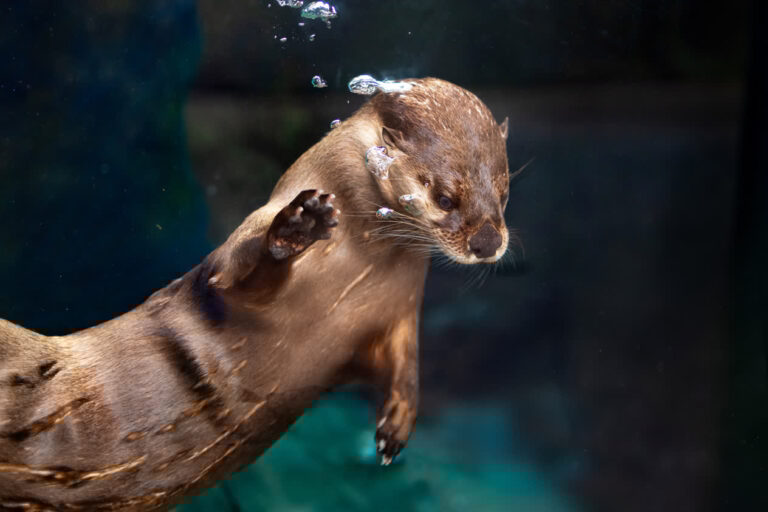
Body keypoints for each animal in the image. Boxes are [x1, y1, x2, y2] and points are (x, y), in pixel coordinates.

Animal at [0, 78, 512, 511]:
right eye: (445, 197)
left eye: (504, 193)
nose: (488, 243)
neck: (361, 268)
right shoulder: (236, 266)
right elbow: (238, 273)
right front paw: (297, 226)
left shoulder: (399, 311)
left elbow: (406, 361)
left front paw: (397, 425)